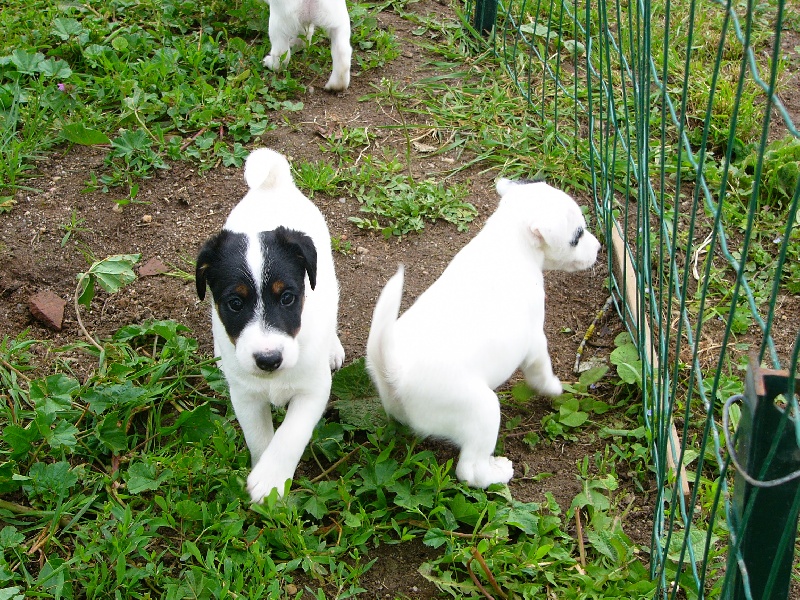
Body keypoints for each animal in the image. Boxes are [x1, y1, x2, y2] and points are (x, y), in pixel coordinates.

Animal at [196, 148, 344, 504]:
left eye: (288, 298)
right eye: (235, 303)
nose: (268, 360)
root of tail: (272, 182)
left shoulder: (313, 390)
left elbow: (289, 435)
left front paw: (271, 480)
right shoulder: (246, 396)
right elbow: (260, 437)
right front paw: (264, 481)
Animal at [364, 178, 600, 488]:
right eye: (578, 236)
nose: (599, 248)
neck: (507, 240)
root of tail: (395, 374)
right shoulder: (535, 340)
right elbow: (541, 369)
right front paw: (552, 388)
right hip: (484, 410)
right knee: (470, 470)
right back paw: (497, 472)